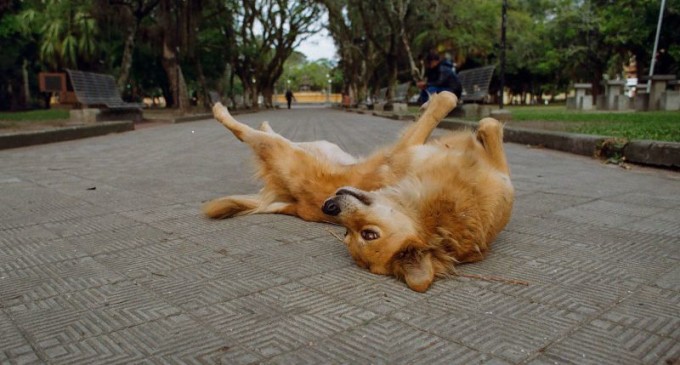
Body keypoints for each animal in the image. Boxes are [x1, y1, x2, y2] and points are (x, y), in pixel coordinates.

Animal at [205, 92, 512, 292]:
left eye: (367, 235)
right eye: (345, 232)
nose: (329, 207)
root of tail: (293, 201)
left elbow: (469, 116)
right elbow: (463, 111)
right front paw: (436, 102)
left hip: (286, 150)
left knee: (247, 133)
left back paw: (228, 112)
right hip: (307, 147)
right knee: (257, 132)